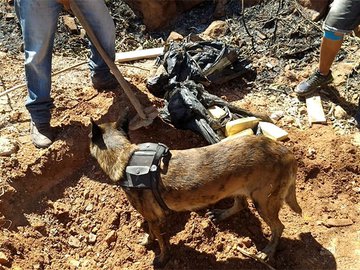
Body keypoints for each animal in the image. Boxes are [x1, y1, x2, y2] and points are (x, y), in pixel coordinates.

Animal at [89, 113, 300, 266]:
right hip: (240, 188)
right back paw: (222, 214)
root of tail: (288, 153)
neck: (124, 157)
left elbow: (159, 239)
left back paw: (269, 251)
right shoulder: (155, 217)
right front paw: (150, 242)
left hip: (264, 202)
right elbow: (154, 232)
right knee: (240, 204)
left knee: (278, 227)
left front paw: (160, 255)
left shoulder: (153, 218)